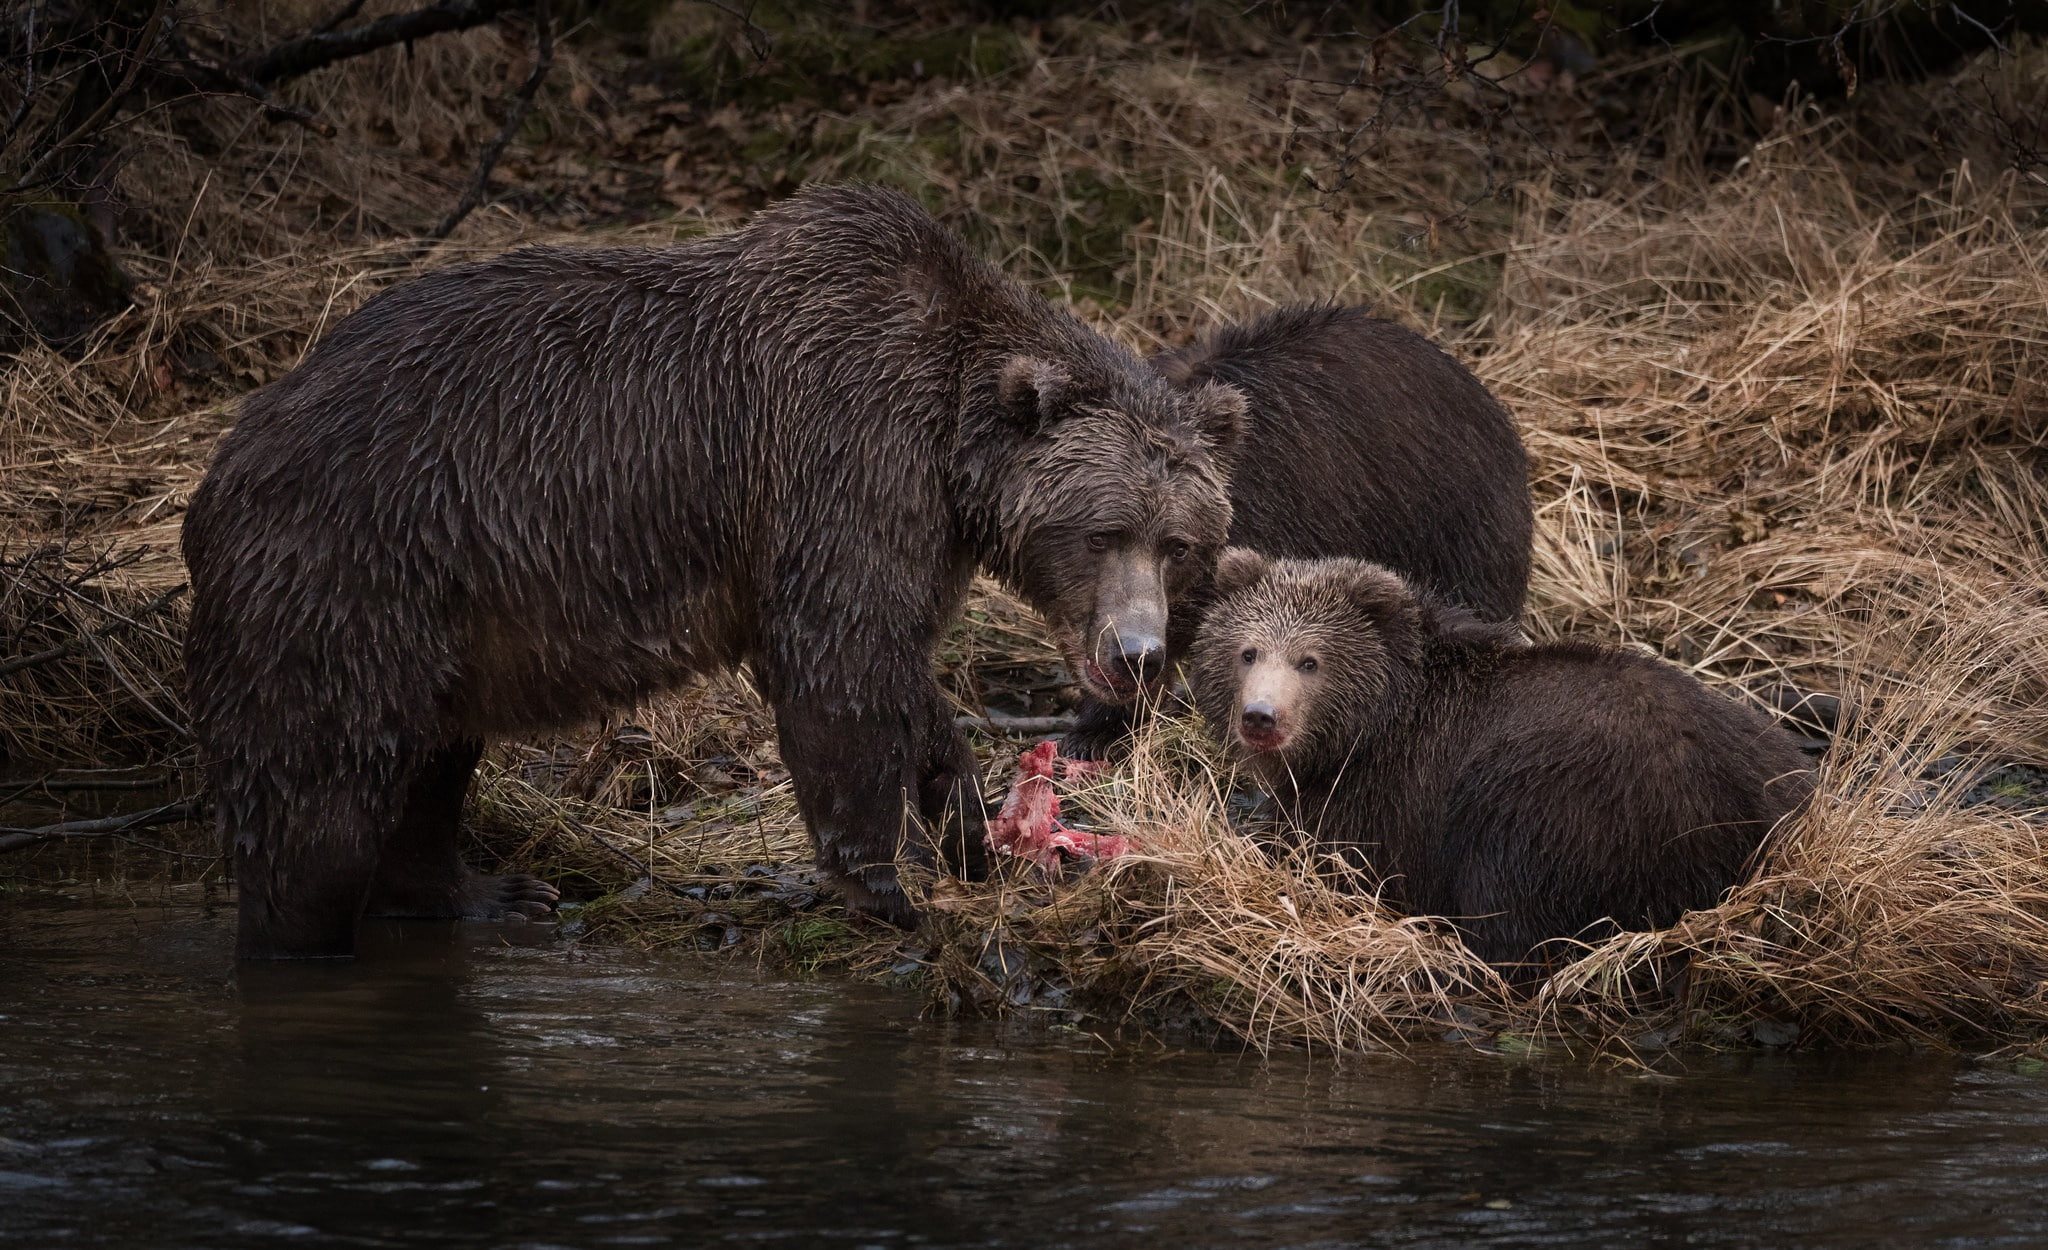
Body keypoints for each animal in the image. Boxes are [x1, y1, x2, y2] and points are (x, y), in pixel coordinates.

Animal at [183, 184, 1247, 959]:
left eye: (1180, 542)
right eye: (1102, 530)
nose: (1139, 653)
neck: (953, 439)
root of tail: (224, 464)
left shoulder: (910, 524)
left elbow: (899, 666)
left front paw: (969, 825)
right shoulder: (840, 458)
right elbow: (840, 663)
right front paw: (893, 883)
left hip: (439, 618)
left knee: (432, 757)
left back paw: (491, 892)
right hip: (348, 575)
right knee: (320, 799)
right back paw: (309, 937)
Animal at [1189, 551, 1814, 973]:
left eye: (1310, 661)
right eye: (1248, 652)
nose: (1261, 717)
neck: (1371, 725)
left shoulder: (1393, 790)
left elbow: (1346, 860)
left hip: (1557, 800)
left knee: (1509, 903)